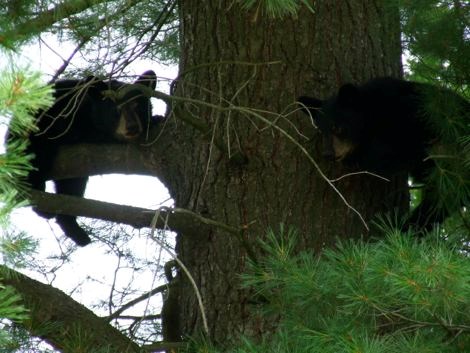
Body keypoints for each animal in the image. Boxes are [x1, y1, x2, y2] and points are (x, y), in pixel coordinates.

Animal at [8, 69, 158, 245]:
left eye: (138, 107)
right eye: (116, 110)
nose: (132, 127)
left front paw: (154, 119)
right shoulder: (69, 115)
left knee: (71, 187)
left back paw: (74, 229)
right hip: (32, 132)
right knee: (35, 159)